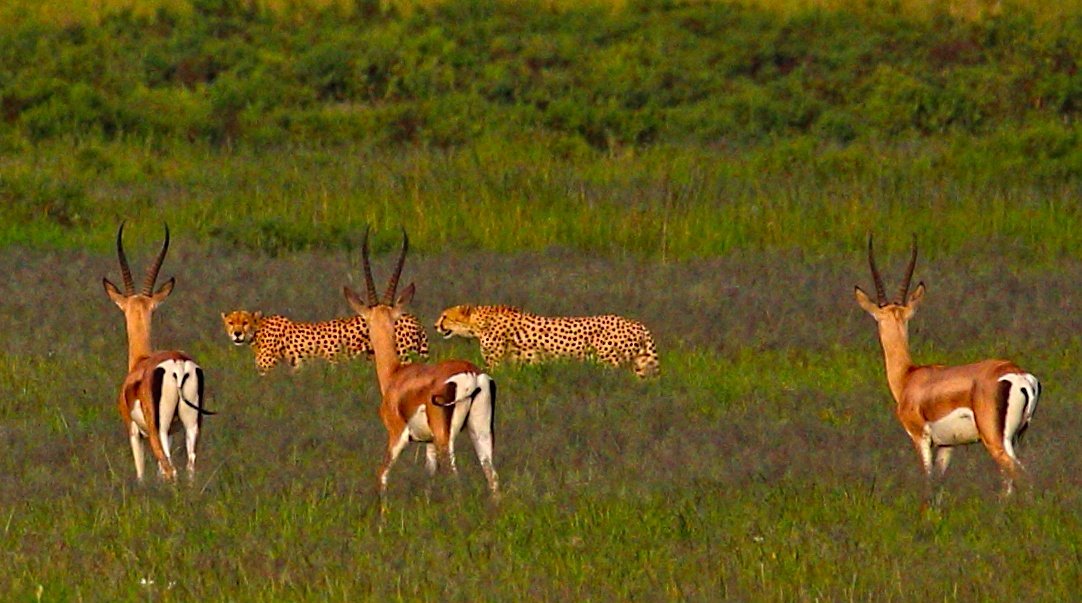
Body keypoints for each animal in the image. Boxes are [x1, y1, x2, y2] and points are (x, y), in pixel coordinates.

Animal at [432, 305, 657, 376]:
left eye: (445, 316)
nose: (435, 325)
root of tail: (637, 324)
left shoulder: (494, 363)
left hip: (608, 363)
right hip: (640, 366)